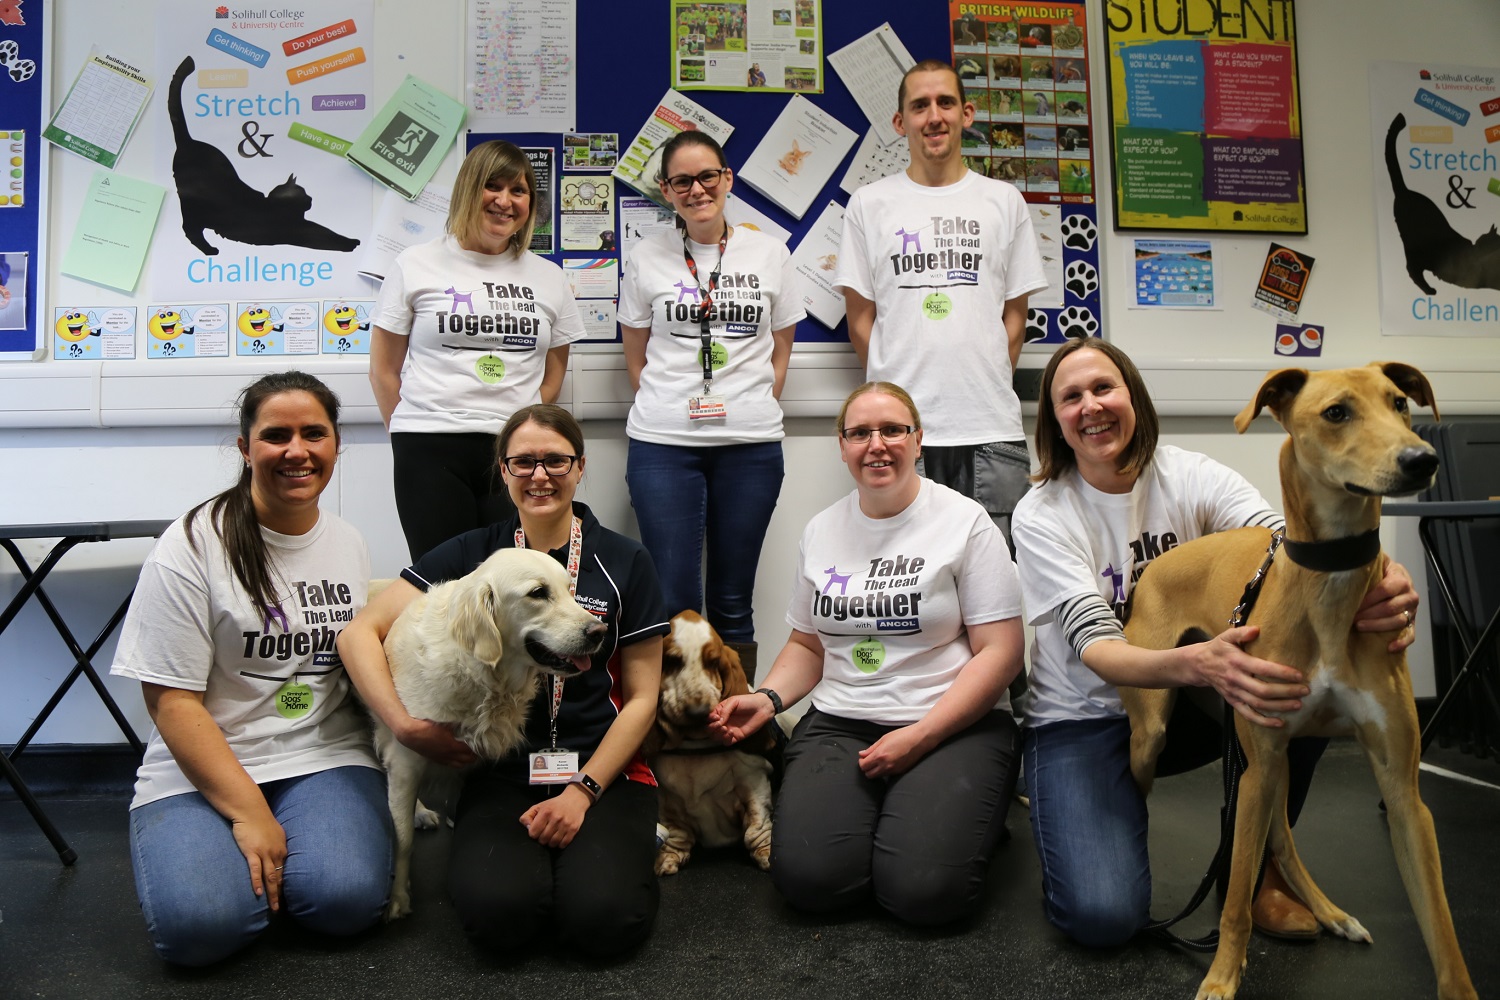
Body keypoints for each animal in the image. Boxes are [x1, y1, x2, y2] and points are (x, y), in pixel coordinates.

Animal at [378, 548, 606, 923]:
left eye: (568, 589)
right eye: (538, 593)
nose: (599, 631)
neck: (483, 672)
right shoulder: (405, 757)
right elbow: (403, 838)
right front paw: (398, 896)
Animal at [1122, 364, 1470, 1000]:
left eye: (1400, 403)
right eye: (1336, 412)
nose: (1422, 459)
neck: (1329, 584)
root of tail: (1156, 565)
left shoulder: (1404, 792)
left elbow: (1440, 923)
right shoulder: (1257, 766)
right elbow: (1235, 896)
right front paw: (1221, 978)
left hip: (1271, 746)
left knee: (1280, 832)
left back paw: (1329, 912)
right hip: (1157, 734)